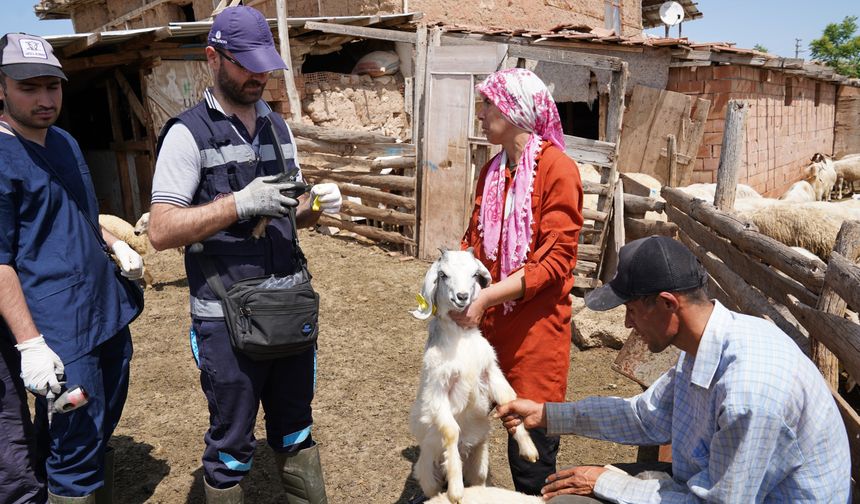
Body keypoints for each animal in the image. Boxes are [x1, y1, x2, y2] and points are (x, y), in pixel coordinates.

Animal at [410, 250, 536, 502]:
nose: (462, 296)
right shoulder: (438, 389)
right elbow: (451, 431)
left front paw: (529, 449)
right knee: (433, 489)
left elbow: (509, 399)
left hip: (479, 463)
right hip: (427, 470)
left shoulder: (490, 371)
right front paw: (456, 490)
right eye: (443, 274)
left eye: (474, 274)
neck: (461, 341)